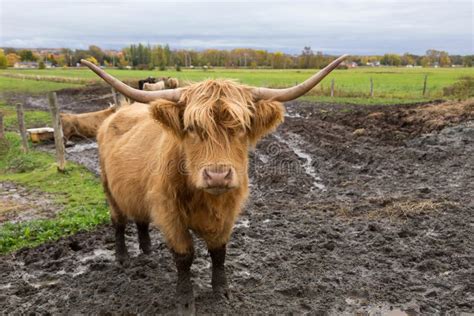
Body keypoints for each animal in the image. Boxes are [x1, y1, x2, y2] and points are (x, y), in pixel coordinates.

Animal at [81, 55, 346, 312]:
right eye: (191, 128)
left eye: (241, 127)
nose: (217, 176)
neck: (206, 199)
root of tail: (119, 111)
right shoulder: (170, 213)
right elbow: (184, 256)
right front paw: (185, 301)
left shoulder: (228, 213)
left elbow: (219, 253)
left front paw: (222, 291)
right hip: (110, 190)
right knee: (119, 223)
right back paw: (123, 258)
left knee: (141, 220)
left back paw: (147, 252)